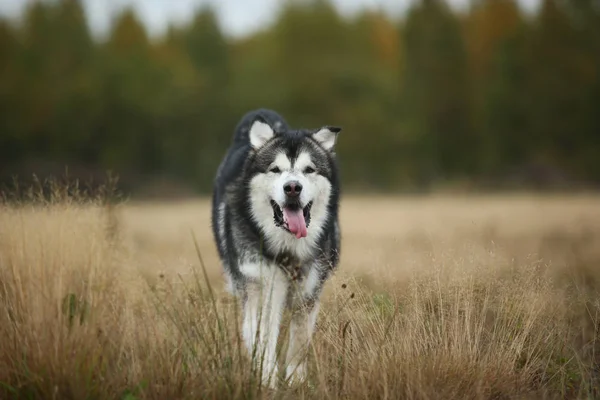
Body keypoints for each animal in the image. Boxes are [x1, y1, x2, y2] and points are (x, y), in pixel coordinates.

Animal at [211, 108, 342, 388]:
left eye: (308, 169)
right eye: (275, 169)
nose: (292, 187)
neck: (288, 249)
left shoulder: (309, 293)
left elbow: (299, 342)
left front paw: (295, 382)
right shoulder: (263, 286)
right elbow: (262, 339)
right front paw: (267, 382)